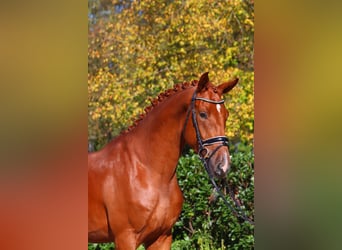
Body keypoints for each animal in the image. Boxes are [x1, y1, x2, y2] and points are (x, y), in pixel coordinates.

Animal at [88, 72, 238, 248]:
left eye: (226, 116)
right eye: (203, 114)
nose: (223, 166)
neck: (147, 169)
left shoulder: (162, 237)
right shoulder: (125, 238)